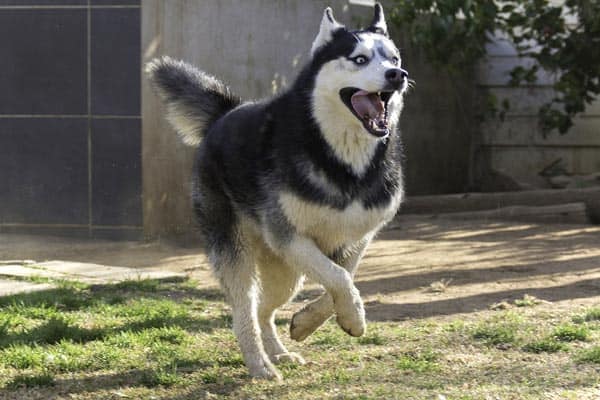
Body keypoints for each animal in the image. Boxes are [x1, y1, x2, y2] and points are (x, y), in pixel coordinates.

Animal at [145, 3, 408, 380]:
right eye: (359, 59)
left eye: (393, 58)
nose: (397, 75)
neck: (340, 157)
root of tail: (226, 111)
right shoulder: (288, 235)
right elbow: (340, 278)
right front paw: (354, 318)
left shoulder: (357, 238)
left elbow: (344, 277)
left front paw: (314, 322)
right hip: (238, 253)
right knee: (244, 312)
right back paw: (260, 364)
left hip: (285, 272)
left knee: (263, 309)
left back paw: (279, 353)